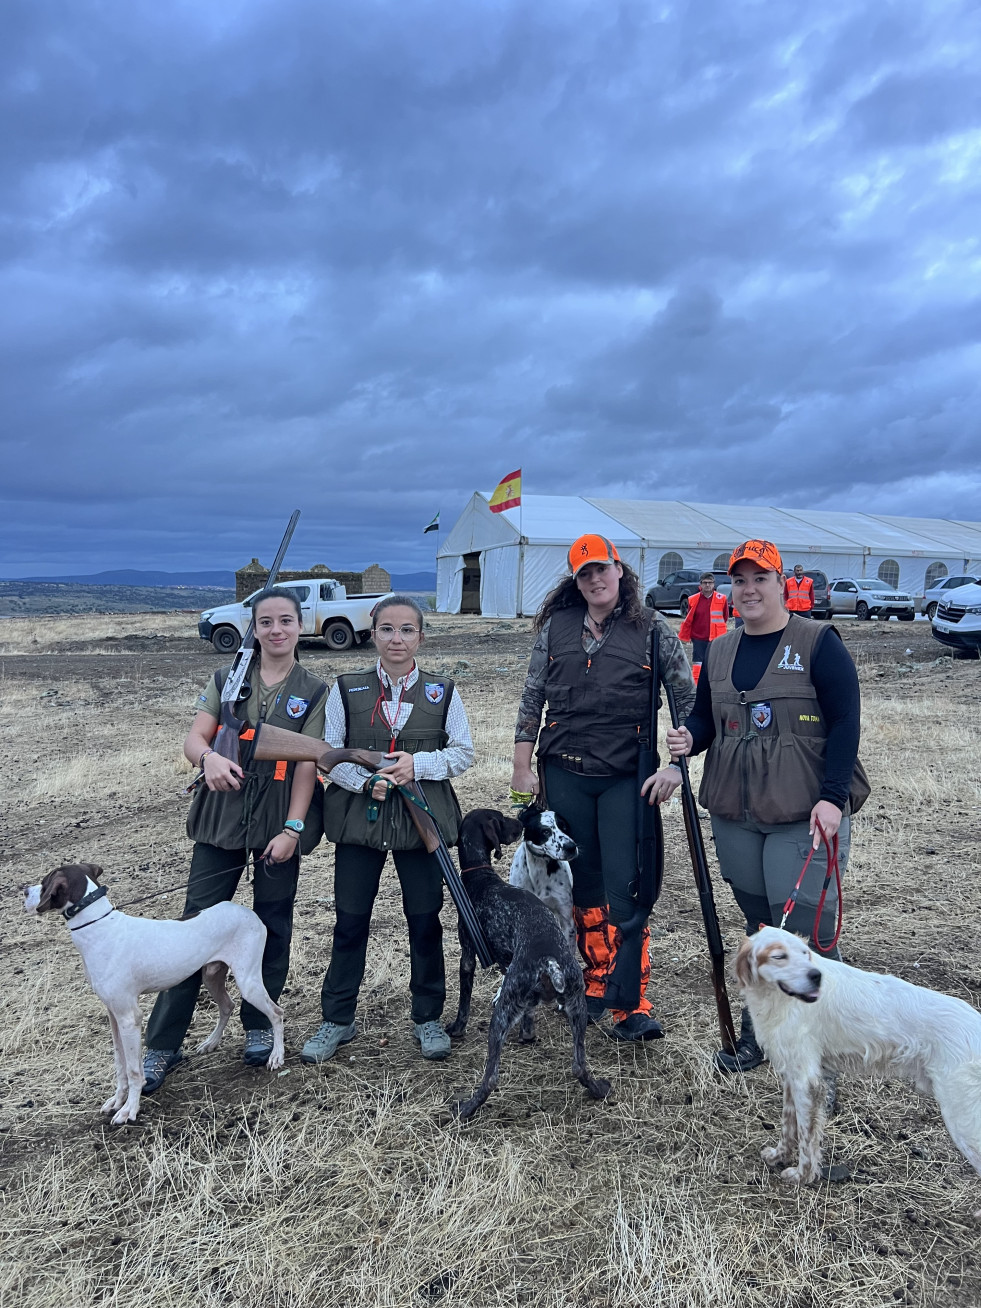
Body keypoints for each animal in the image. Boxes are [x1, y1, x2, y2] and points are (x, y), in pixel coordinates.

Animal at [24, 868, 283, 1124]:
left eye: (45, 882)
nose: (24, 890)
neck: (99, 927)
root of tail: (249, 913)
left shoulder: (129, 1018)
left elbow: (133, 1071)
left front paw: (129, 1109)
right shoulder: (114, 1016)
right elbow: (120, 1065)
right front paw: (117, 1100)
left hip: (248, 981)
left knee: (276, 1013)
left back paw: (276, 1056)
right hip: (211, 975)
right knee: (227, 1006)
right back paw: (211, 1042)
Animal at [737, 926, 981, 1192]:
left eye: (805, 953)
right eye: (779, 956)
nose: (816, 976)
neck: (779, 998)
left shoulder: (806, 1081)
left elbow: (806, 1137)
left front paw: (802, 1176)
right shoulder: (792, 1075)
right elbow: (788, 1126)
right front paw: (778, 1156)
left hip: (964, 1119)